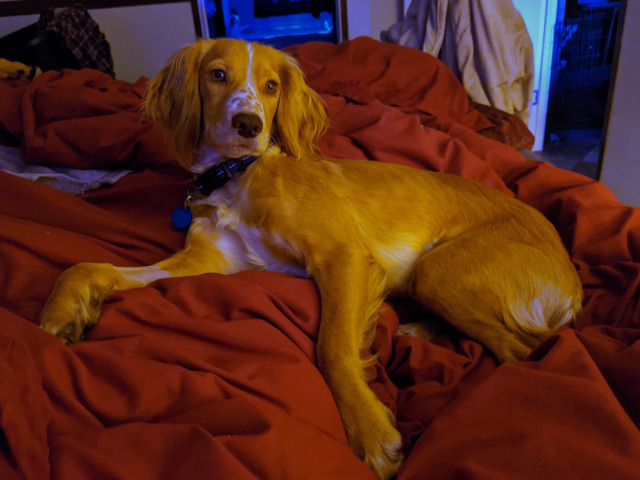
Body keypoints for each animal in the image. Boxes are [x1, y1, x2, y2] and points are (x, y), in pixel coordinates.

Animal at [37, 38, 584, 480]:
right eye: (217, 74)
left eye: (271, 86)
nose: (248, 124)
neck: (240, 176)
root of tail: (573, 281)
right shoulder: (205, 265)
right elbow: (88, 266)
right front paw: (58, 316)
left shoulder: (342, 256)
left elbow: (332, 347)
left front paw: (368, 430)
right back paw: (411, 329)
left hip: (438, 271)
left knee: (524, 349)